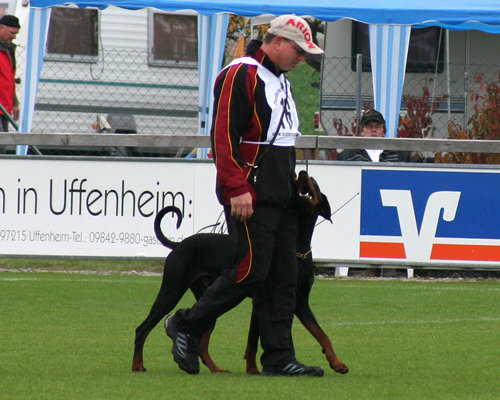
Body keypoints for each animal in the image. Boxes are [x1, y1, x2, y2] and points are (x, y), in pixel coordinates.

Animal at [133, 171, 348, 376]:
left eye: (313, 181)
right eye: (300, 180)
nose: (302, 173)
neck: (298, 249)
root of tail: (179, 244)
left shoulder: (300, 301)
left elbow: (321, 334)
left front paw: (337, 363)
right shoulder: (263, 300)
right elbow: (253, 341)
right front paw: (253, 370)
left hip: (208, 297)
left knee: (201, 337)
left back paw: (215, 368)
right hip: (172, 291)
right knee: (143, 328)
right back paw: (138, 364)